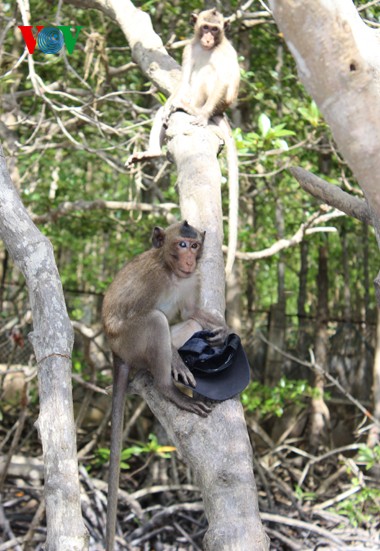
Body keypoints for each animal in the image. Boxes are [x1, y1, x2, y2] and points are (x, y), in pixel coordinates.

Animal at [101, 221, 230, 551]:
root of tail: (115, 352)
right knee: (155, 321)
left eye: (194, 245)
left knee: (190, 325)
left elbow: (191, 314)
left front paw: (223, 330)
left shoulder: (193, 279)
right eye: (181, 244)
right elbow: (139, 314)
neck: (172, 274)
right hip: (129, 343)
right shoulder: (151, 280)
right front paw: (177, 362)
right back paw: (168, 385)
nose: (190, 258)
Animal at [127, 9, 240, 280]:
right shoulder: (190, 48)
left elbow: (223, 78)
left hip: (217, 102)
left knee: (211, 75)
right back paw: (154, 148)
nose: (208, 38)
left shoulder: (224, 52)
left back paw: (196, 111)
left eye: (215, 29)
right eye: (205, 27)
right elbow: (185, 77)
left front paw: (201, 115)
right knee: (171, 103)